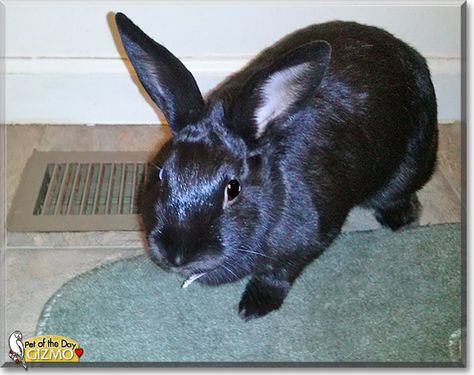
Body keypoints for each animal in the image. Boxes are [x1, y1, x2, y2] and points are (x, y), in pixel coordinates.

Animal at [115, 13, 436, 320]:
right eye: (160, 174)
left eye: (233, 189)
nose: (177, 255)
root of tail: (403, 49)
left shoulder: (309, 240)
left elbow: (278, 275)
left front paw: (253, 307)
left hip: (410, 163)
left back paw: (399, 219)